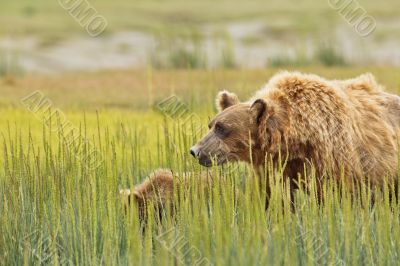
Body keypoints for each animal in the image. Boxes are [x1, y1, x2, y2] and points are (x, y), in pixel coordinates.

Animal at [190, 71, 400, 198]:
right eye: (211, 125)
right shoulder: (276, 166)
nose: (195, 150)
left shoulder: (332, 160)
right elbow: (277, 197)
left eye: (221, 128)